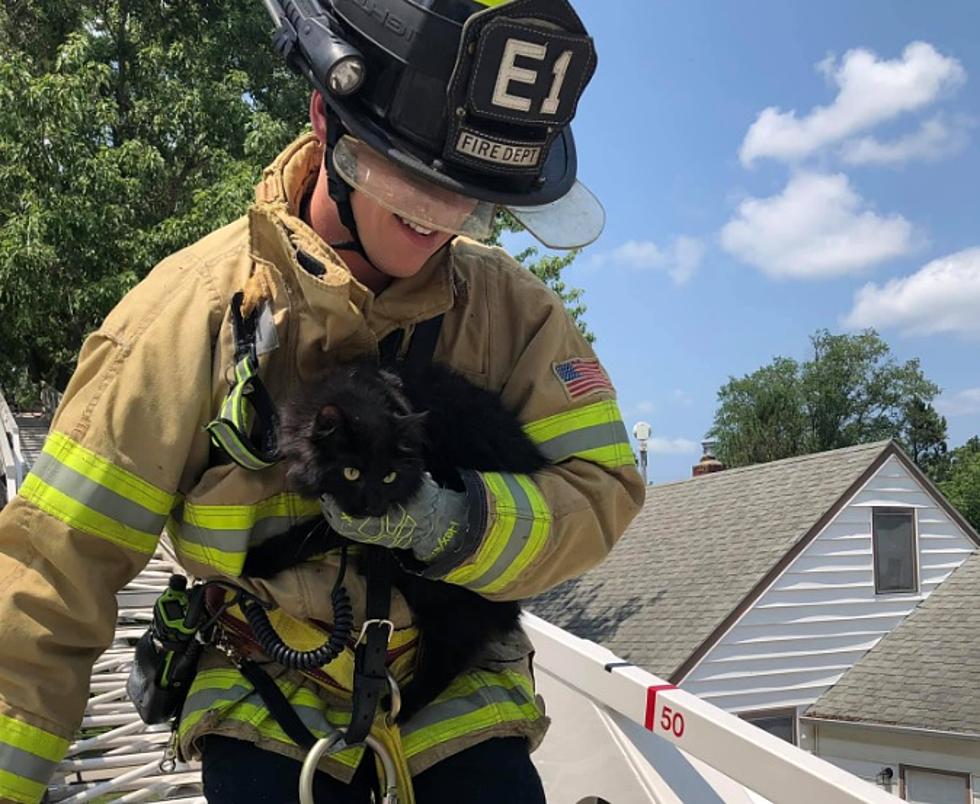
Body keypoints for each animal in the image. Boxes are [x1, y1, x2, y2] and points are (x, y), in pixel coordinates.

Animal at [241, 362, 548, 720]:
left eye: (389, 477)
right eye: (351, 472)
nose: (374, 506)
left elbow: (308, 536)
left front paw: (259, 559)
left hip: (448, 598)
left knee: (450, 657)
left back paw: (397, 709)